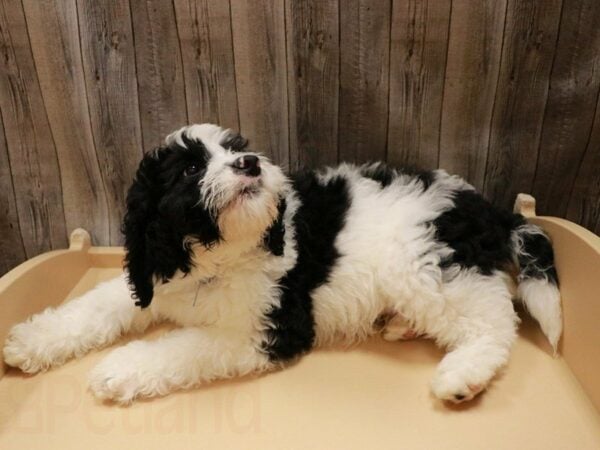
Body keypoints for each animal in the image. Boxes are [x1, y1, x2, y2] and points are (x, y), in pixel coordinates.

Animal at [3, 123, 564, 404]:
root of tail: (484, 207)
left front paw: (118, 369)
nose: (250, 164)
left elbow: (185, 348)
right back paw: (400, 325)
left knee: (496, 322)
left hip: (424, 266)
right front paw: (30, 341)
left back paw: (463, 377)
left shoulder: (271, 328)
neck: (218, 257)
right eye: (190, 168)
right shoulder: (155, 276)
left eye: (235, 150)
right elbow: (95, 305)